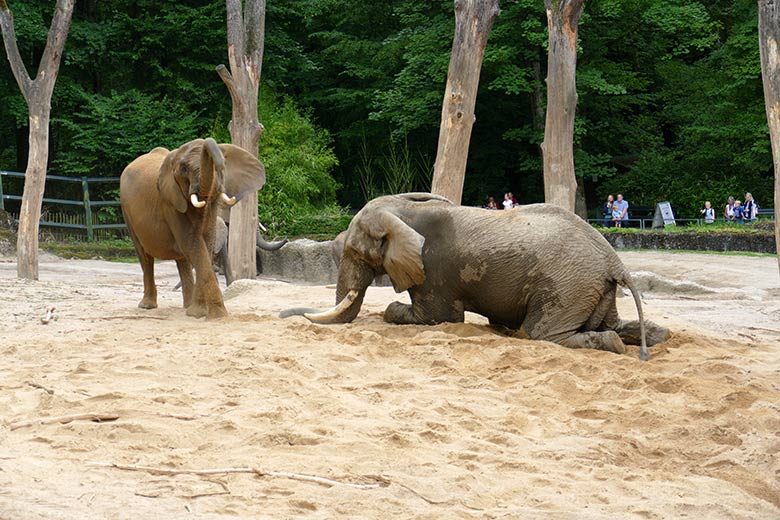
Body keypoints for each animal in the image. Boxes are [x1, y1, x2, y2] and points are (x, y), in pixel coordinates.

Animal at [121, 137, 266, 316]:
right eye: (184, 168)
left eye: (224, 164)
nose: (220, 163)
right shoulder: (170, 202)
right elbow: (193, 243)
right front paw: (215, 315)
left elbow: (206, 242)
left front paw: (198, 312)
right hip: (126, 212)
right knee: (145, 256)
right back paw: (147, 306)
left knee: (182, 260)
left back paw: (187, 306)